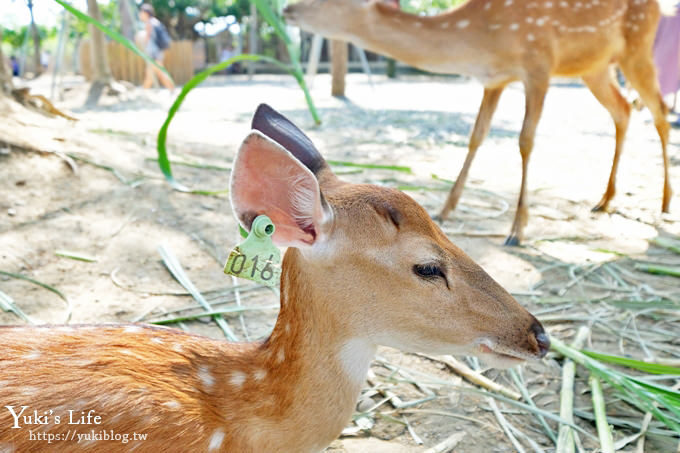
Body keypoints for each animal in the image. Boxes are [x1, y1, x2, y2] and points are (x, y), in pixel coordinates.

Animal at [284, 0, 672, 244]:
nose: (287, 9)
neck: (483, 40)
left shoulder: (538, 63)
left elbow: (525, 140)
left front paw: (518, 229)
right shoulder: (495, 79)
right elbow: (476, 135)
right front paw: (445, 209)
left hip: (637, 48)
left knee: (660, 111)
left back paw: (665, 203)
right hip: (595, 67)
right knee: (623, 110)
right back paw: (605, 199)